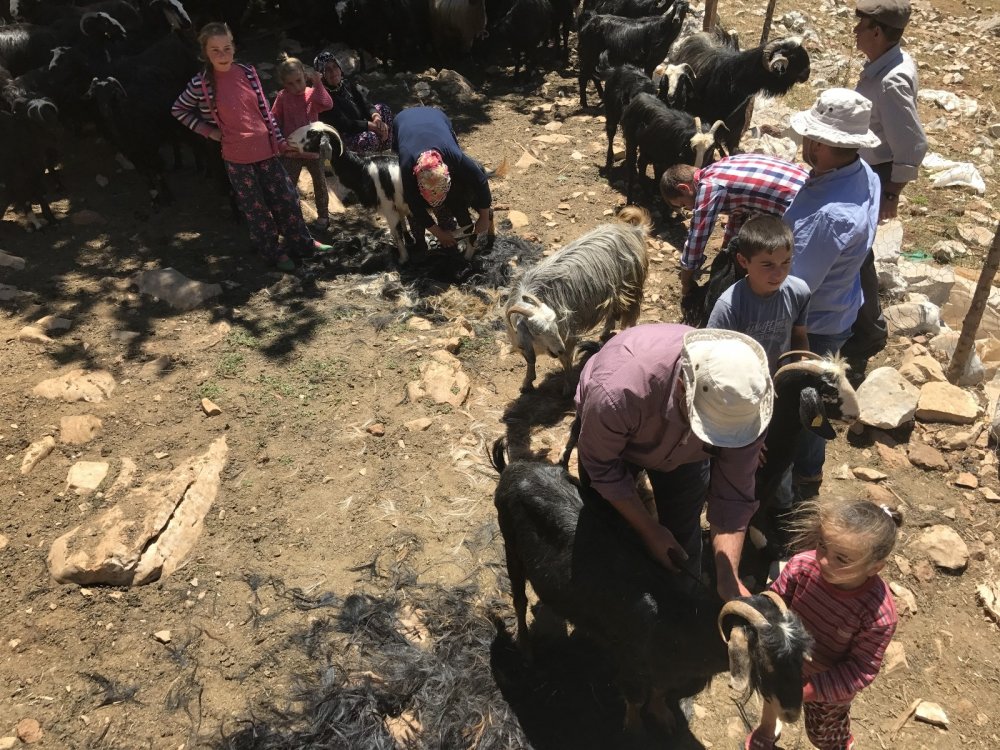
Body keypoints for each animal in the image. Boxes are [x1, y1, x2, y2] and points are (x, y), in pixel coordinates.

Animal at [492, 440, 812, 740]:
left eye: (801, 658)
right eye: (764, 661)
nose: (791, 713)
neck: (677, 620)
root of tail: (514, 467)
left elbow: (658, 691)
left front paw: (663, 716)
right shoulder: (630, 663)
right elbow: (636, 698)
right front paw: (636, 729)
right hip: (511, 547)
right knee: (519, 600)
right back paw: (525, 648)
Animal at [504, 206, 652, 394]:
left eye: (554, 325)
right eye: (536, 330)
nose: (558, 349)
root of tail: (634, 230)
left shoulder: (567, 334)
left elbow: (566, 361)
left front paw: (567, 388)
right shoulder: (524, 343)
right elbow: (530, 362)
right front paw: (527, 383)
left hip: (632, 287)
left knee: (630, 316)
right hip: (614, 292)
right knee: (612, 312)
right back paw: (605, 332)